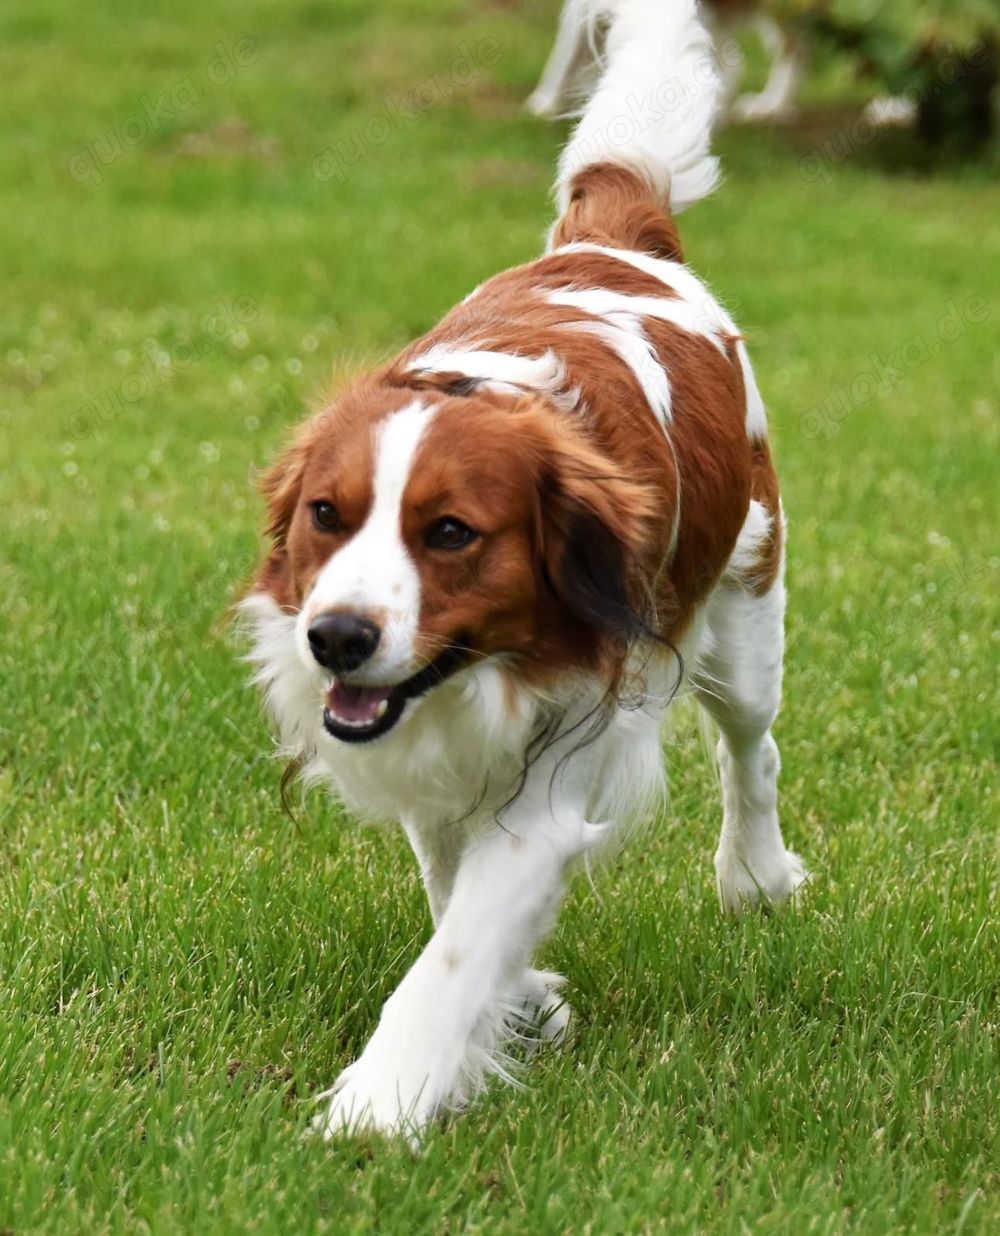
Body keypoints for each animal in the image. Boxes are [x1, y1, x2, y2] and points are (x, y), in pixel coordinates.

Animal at [245, 0, 805, 1137]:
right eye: (327, 515)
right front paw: (522, 1006)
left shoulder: (557, 765)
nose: (337, 638)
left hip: (745, 612)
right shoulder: (429, 755)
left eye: (452, 533)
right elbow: (449, 887)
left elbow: (454, 952)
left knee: (751, 749)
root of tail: (615, 241)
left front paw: (378, 1104)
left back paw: (757, 876)